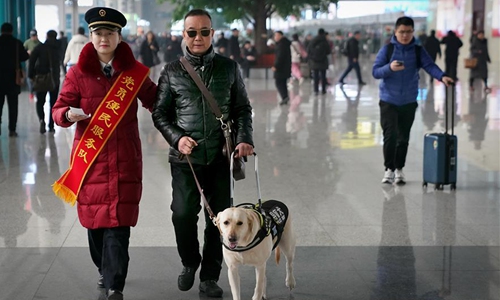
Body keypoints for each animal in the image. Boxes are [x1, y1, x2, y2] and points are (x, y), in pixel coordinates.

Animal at [216, 152, 294, 300]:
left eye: (240, 223)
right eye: (225, 222)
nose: (231, 238)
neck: (243, 245)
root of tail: (276, 200)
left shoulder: (259, 265)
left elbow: (257, 288)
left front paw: (258, 294)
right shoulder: (232, 269)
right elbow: (237, 291)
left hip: (287, 244)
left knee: (289, 263)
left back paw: (290, 281)